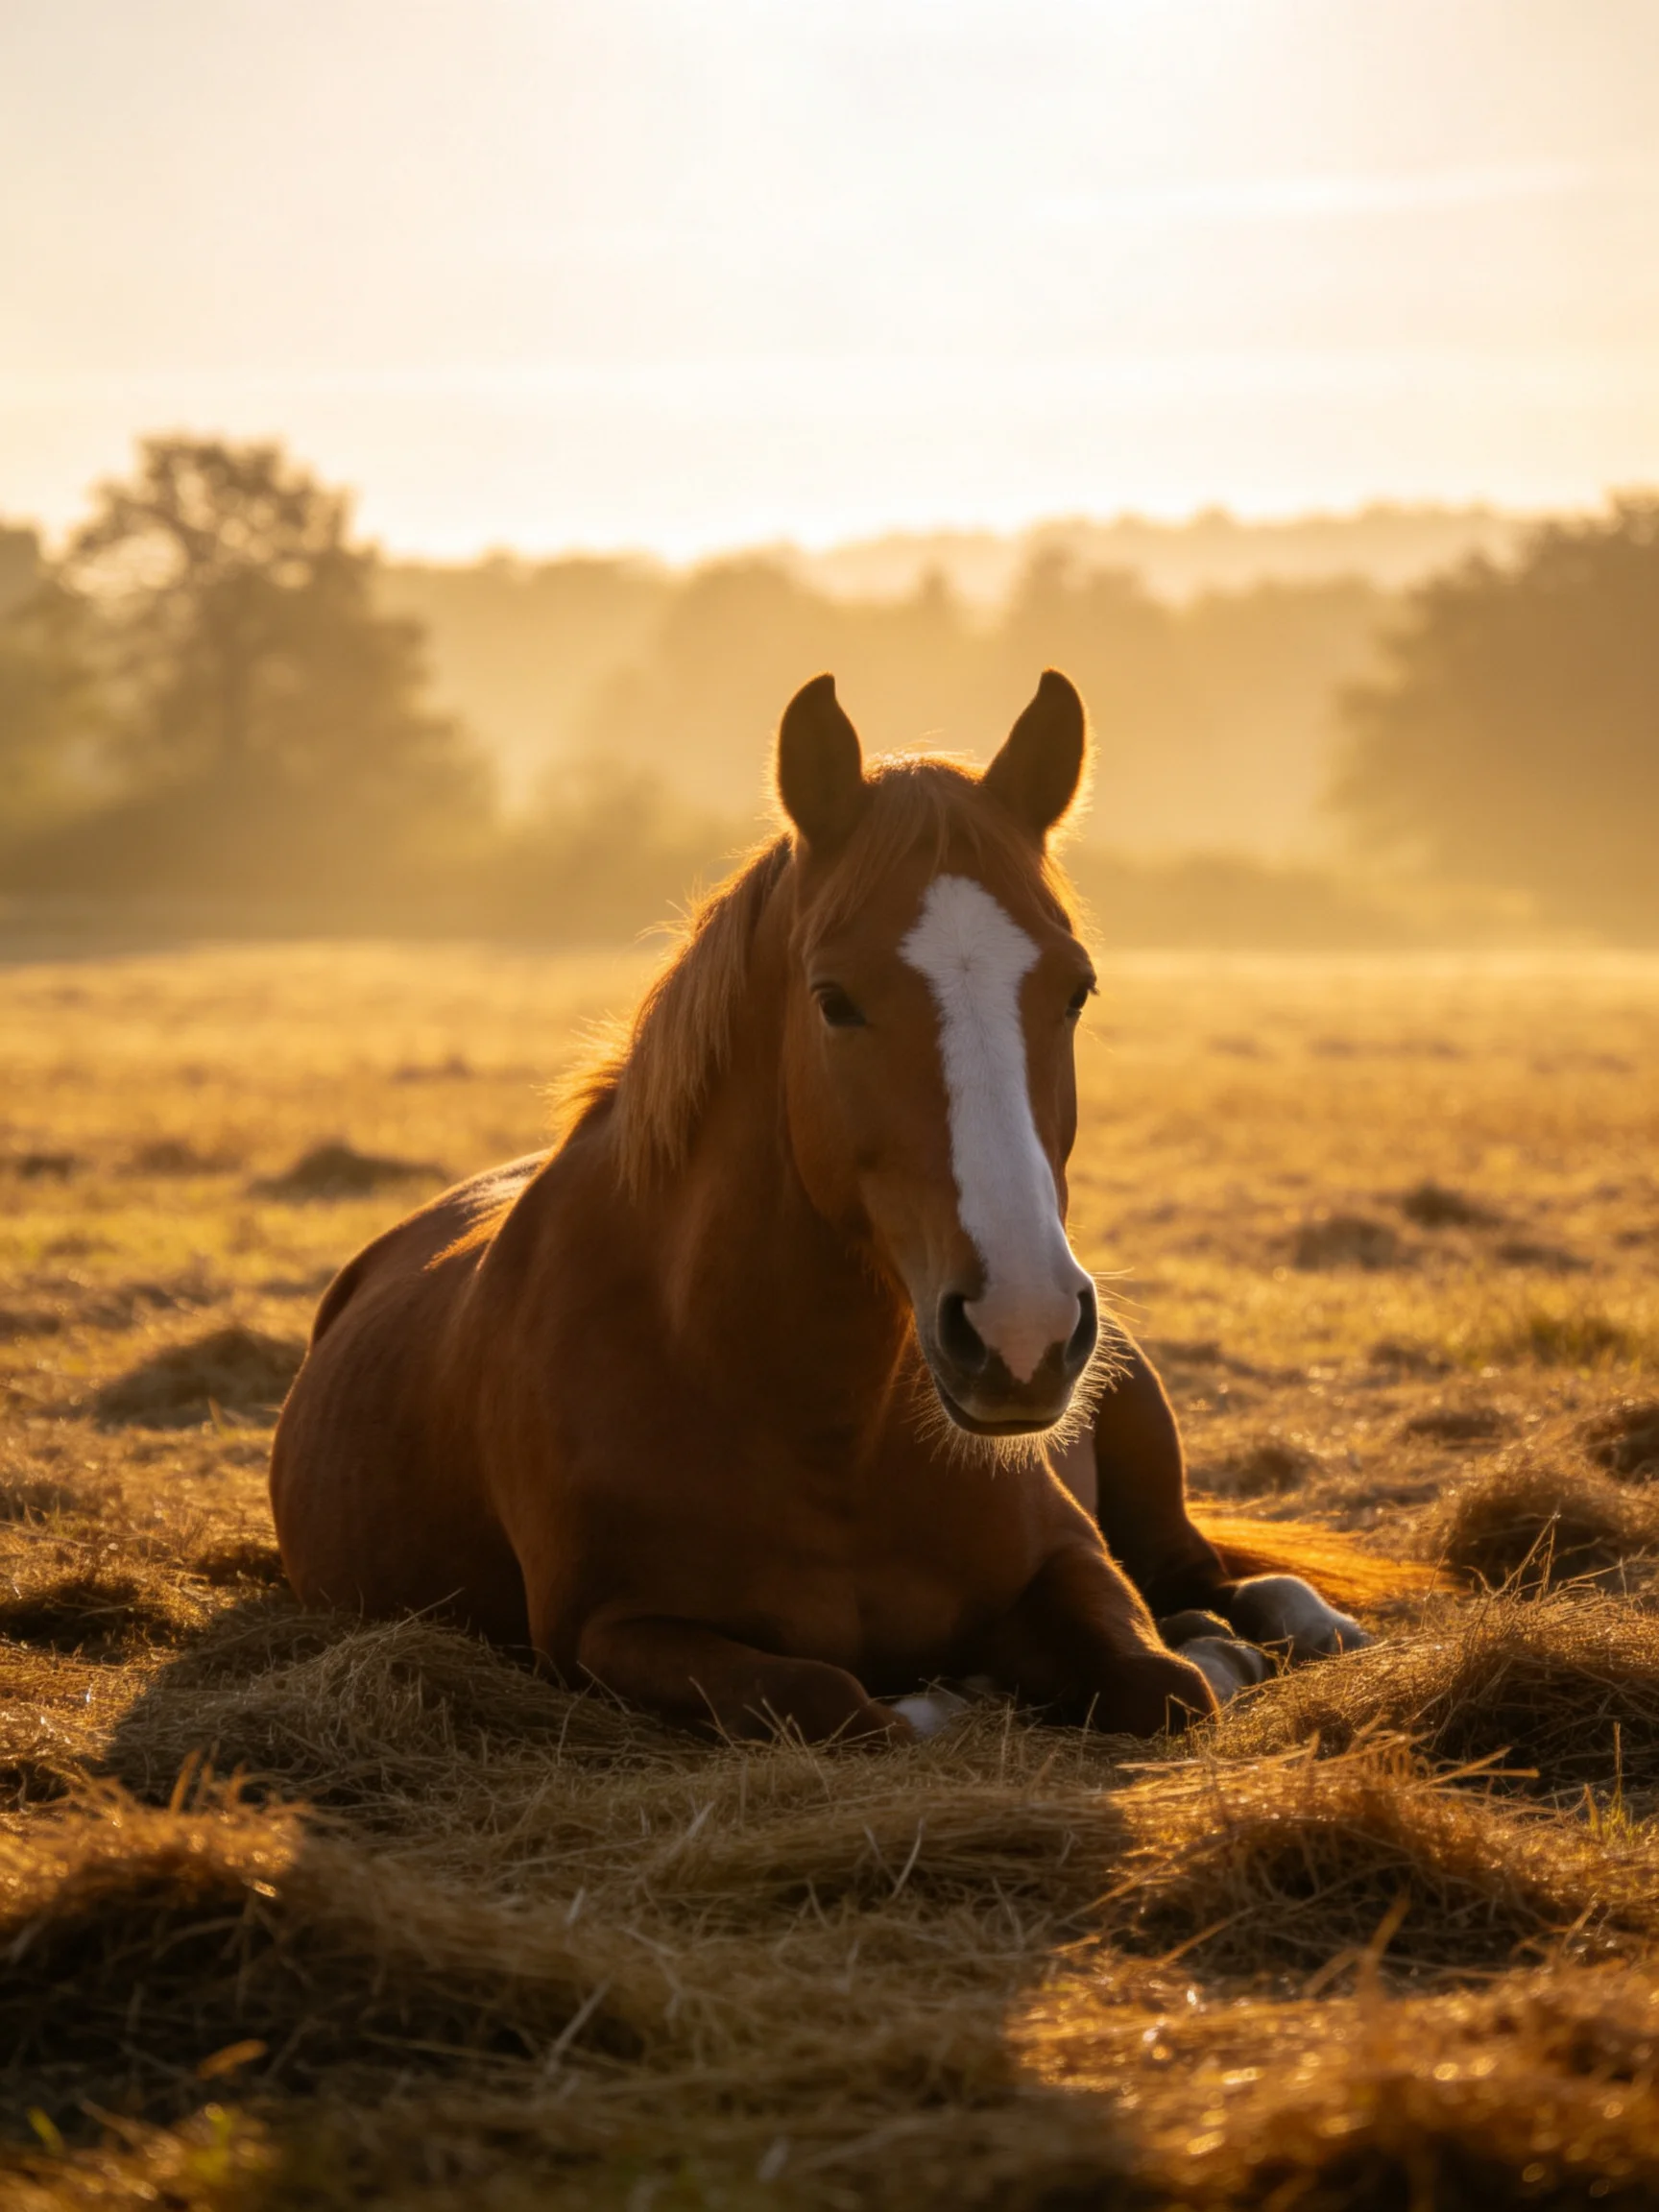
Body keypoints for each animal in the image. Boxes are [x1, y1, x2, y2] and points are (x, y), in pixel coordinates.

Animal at [271, 670, 1387, 1743]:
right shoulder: (607, 1634)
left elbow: (1164, 1683)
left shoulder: (1072, 1560)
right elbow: (830, 1699)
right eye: (835, 999)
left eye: (1077, 990)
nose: (1020, 1330)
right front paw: (948, 1695)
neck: (814, 1424)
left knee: (1219, 1578)